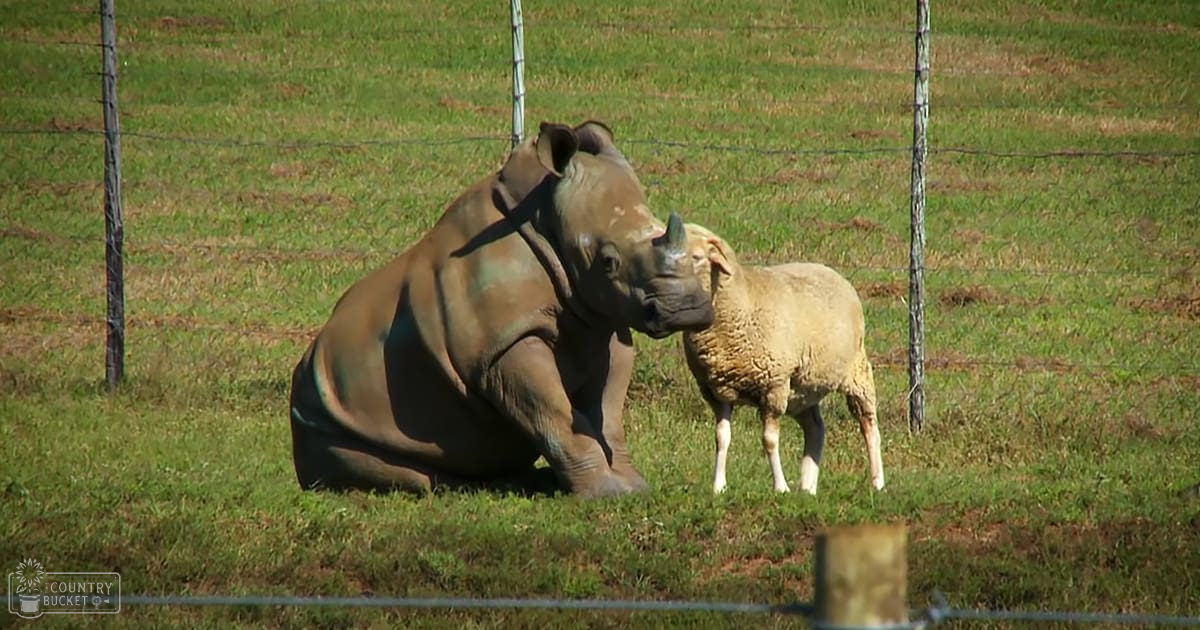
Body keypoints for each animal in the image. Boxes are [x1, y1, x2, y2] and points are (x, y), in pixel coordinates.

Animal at [288, 120, 714, 498]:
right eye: (608, 262)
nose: (690, 309)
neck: (547, 222)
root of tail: (309, 360)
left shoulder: (604, 319)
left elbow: (608, 413)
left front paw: (633, 488)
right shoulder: (501, 345)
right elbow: (556, 411)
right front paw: (606, 494)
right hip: (324, 416)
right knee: (400, 471)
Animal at [680, 223, 884, 495]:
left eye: (696, 257)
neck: (743, 300)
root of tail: (828, 270)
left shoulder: (774, 386)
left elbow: (769, 440)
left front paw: (780, 487)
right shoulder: (717, 390)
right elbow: (721, 437)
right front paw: (719, 487)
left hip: (855, 370)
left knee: (868, 424)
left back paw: (877, 482)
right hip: (803, 388)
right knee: (815, 429)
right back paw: (807, 487)